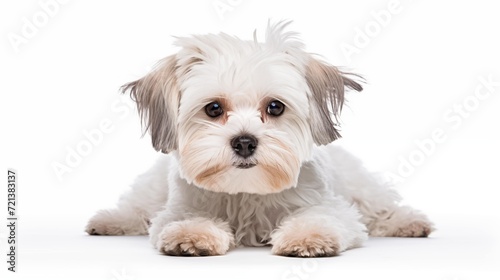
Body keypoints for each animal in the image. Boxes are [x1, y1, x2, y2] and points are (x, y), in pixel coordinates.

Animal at [87, 22, 434, 258]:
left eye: (275, 107)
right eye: (214, 108)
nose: (244, 142)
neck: (246, 192)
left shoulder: (332, 207)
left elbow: (322, 218)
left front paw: (307, 237)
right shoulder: (178, 207)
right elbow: (183, 219)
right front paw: (193, 234)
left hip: (362, 187)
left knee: (381, 209)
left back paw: (410, 222)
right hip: (152, 188)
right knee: (137, 208)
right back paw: (108, 221)